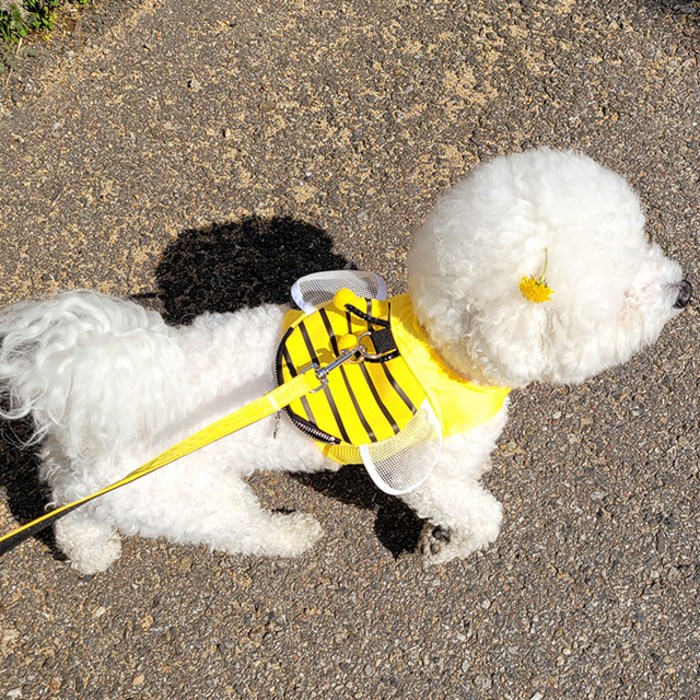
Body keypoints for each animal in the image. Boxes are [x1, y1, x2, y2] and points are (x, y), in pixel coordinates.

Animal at [0, 149, 688, 576]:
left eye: (644, 245)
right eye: (624, 299)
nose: (684, 290)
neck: (439, 348)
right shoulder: (430, 474)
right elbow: (482, 515)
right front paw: (444, 548)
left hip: (95, 486)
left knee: (72, 517)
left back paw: (90, 555)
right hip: (196, 499)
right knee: (243, 529)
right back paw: (292, 535)